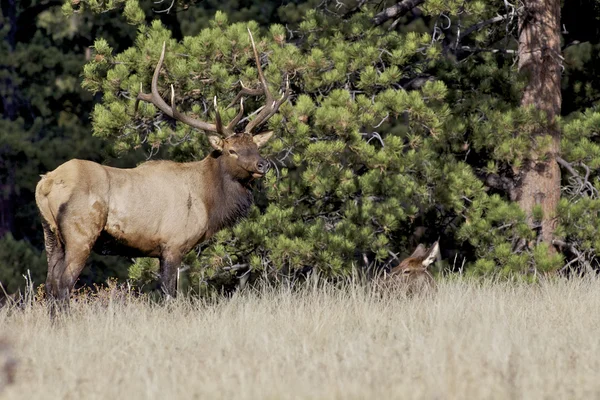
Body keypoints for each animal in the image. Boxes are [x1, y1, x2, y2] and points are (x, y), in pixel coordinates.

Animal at [35, 29, 290, 308]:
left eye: (255, 146)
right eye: (231, 150)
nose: (262, 164)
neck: (208, 202)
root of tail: (45, 184)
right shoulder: (173, 243)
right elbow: (170, 295)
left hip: (50, 236)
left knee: (49, 284)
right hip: (80, 233)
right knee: (63, 285)